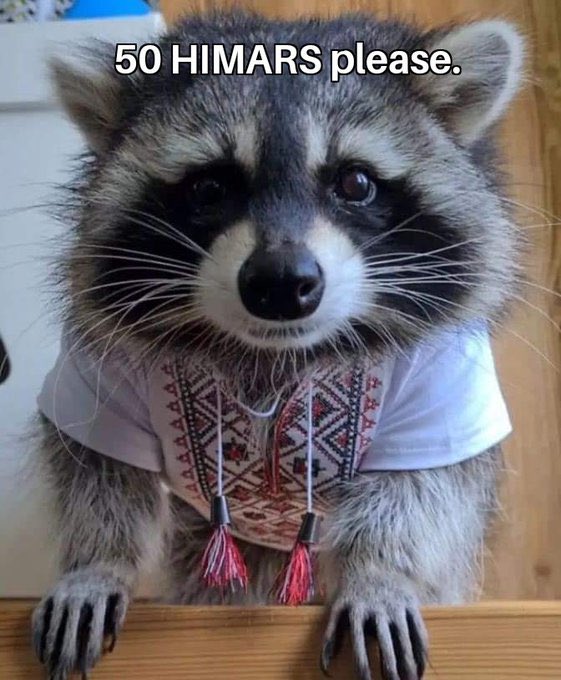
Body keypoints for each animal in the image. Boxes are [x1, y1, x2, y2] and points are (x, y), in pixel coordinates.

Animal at [31, 11, 524, 680]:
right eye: (209, 187)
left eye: (355, 182)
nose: (281, 284)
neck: (275, 352)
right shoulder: (103, 365)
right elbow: (97, 467)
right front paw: (98, 561)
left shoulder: (438, 378)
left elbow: (423, 488)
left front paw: (380, 574)